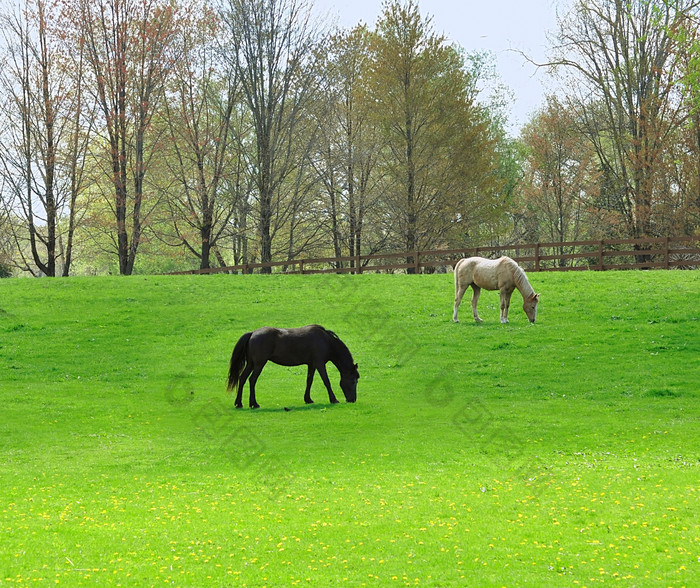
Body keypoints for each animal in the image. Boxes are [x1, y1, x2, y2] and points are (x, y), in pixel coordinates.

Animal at [226, 322, 358, 408]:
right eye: (353, 381)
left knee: (242, 378)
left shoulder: (311, 365)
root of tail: (253, 333)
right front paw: (333, 399)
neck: (326, 341)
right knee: (252, 380)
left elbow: (309, 381)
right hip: (259, 364)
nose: (352, 400)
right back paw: (254, 403)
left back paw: (239, 403)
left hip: (251, 364)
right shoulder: (320, 364)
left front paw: (308, 399)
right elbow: (326, 381)